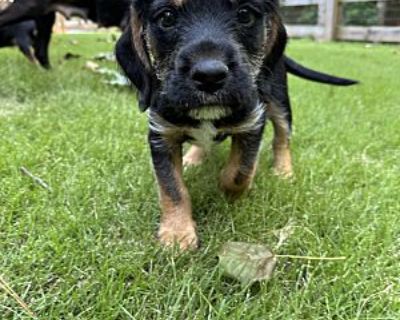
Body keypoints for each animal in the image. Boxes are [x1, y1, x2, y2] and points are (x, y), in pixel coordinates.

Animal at [115, 0, 356, 250]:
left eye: (245, 14)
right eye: (167, 17)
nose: (209, 75)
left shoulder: (252, 122)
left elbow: (239, 172)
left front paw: (229, 190)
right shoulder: (162, 135)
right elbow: (171, 188)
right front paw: (177, 233)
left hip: (280, 101)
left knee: (282, 138)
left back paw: (284, 171)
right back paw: (193, 158)